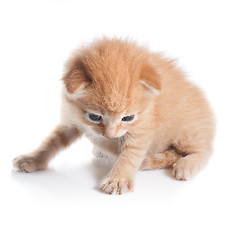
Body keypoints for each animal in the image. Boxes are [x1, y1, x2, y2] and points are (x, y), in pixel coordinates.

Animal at [13, 38, 216, 195]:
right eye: (95, 117)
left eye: (127, 118)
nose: (109, 136)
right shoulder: (73, 120)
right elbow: (52, 142)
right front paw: (33, 159)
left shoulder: (142, 130)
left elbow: (130, 155)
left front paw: (118, 180)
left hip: (188, 132)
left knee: (204, 151)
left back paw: (186, 165)